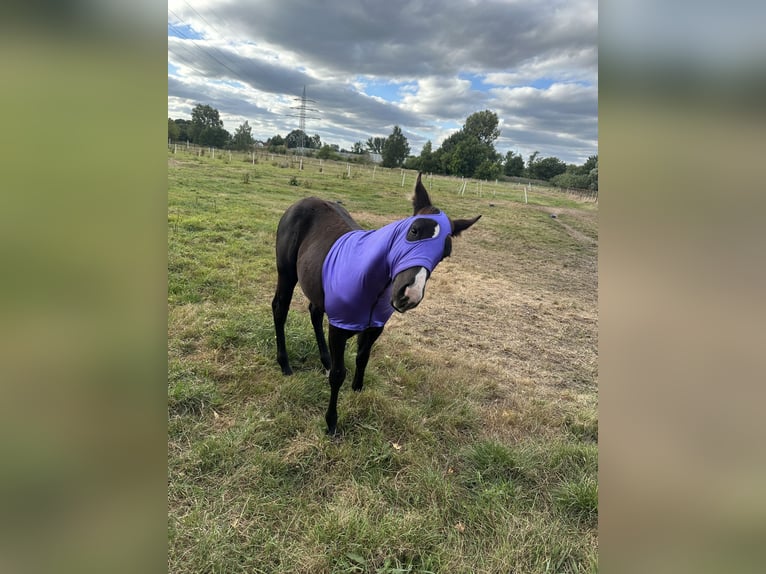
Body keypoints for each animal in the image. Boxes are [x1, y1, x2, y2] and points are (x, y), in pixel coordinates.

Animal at [272, 172, 480, 435]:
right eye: (413, 231)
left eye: (445, 254)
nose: (409, 295)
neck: (371, 281)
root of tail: (301, 202)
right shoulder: (339, 327)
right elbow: (338, 374)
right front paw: (331, 422)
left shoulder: (374, 327)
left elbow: (362, 358)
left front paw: (357, 392)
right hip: (287, 274)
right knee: (280, 309)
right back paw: (285, 364)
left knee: (314, 313)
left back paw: (325, 361)